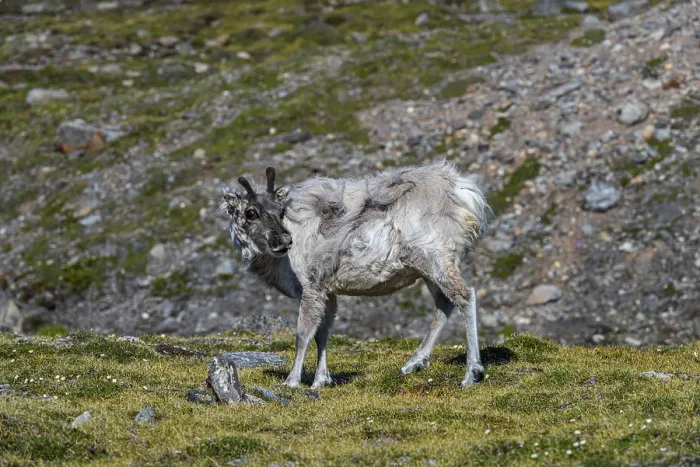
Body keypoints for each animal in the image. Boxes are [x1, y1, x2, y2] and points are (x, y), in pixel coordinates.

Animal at [221, 160, 491, 389]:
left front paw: (292, 381)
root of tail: (467, 193)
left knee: (465, 295)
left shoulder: (311, 286)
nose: (285, 240)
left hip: (435, 256)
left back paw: (471, 372)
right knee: (444, 303)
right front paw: (320, 380)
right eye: (250, 212)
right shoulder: (328, 290)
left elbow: (303, 334)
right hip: (425, 266)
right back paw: (412, 363)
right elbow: (323, 333)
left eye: (280, 211)